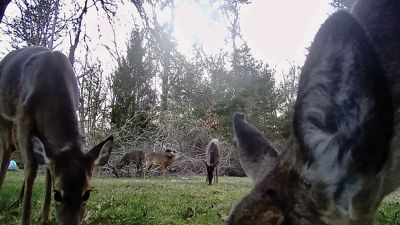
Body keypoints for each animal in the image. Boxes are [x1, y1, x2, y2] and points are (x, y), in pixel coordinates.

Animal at [0, 46, 114, 225]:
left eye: (87, 194)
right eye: (57, 194)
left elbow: (48, 167)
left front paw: (44, 215)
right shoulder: (23, 118)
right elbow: (31, 168)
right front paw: (26, 219)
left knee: (9, 146)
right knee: (8, 146)